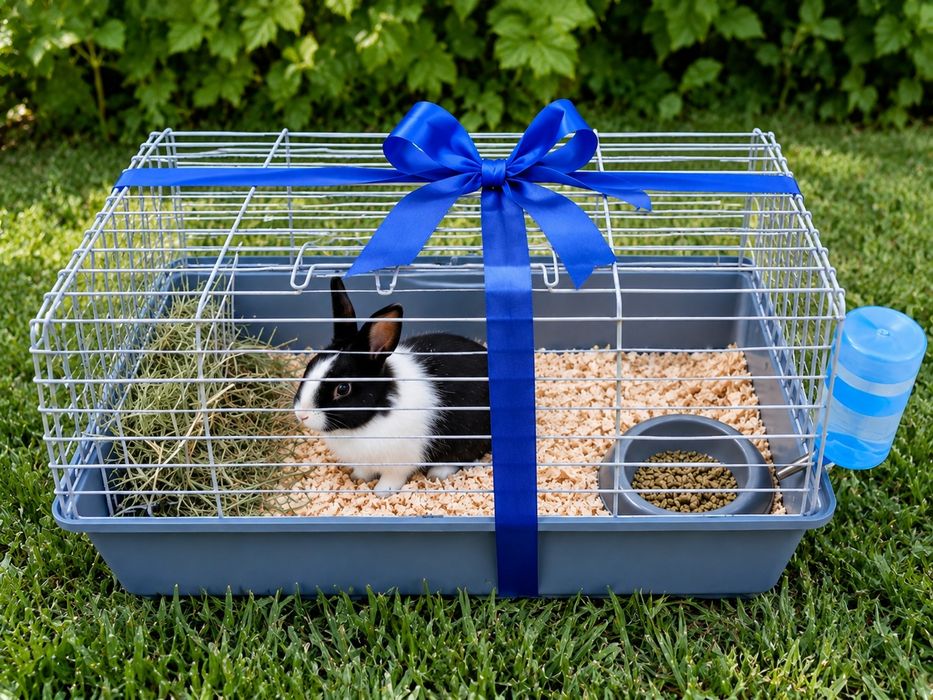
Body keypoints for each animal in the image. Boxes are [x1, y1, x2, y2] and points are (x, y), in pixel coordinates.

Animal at [294, 277, 491, 495]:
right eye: (310, 365)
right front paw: (357, 479)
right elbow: (363, 472)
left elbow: (392, 478)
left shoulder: (399, 464)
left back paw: (437, 473)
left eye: (343, 389)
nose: (302, 415)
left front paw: (381, 492)